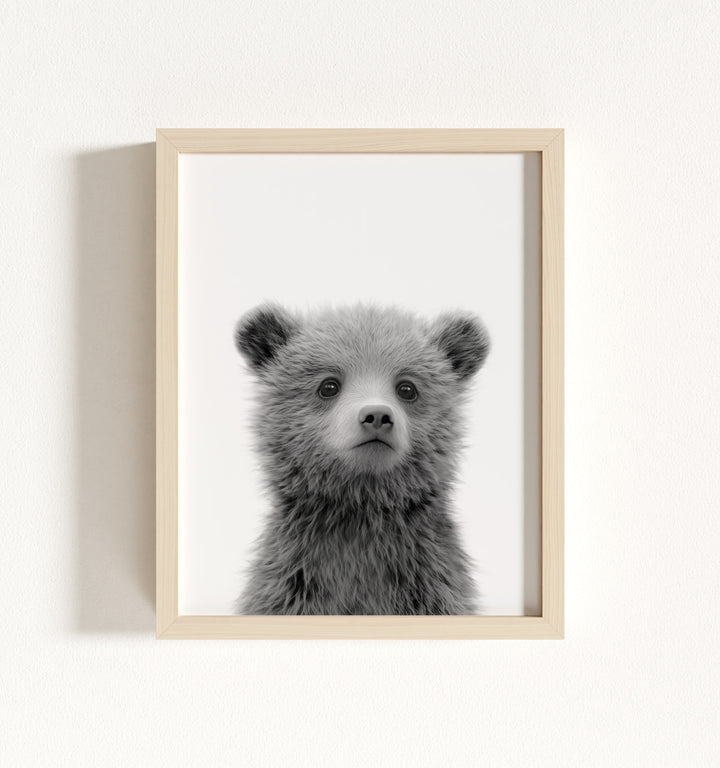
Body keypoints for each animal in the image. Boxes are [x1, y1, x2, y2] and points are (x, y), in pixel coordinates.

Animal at [234, 303, 490, 615]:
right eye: (329, 385)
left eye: (407, 388)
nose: (377, 415)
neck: (360, 509)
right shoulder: (293, 584)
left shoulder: (429, 584)